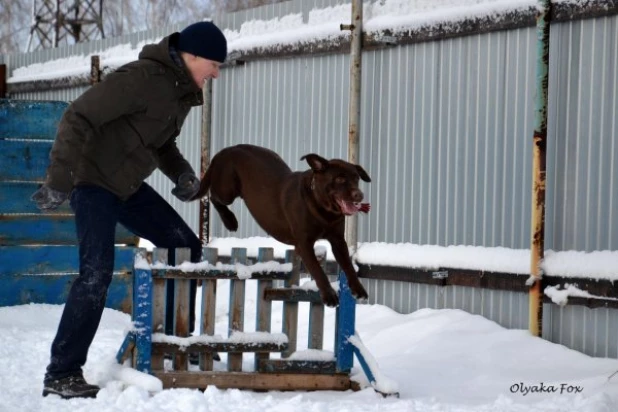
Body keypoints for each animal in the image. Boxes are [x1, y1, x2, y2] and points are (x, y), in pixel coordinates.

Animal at [190, 143, 368, 308]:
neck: (323, 208)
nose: (359, 195)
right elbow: (318, 270)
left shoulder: (338, 240)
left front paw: (359, 290)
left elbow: (348, 265)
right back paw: (230, 221)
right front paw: (329, 296)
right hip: (227, 189)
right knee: (212, 197)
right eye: (339, 179)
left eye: (356, 178)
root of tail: (227, 149)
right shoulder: (304, 245)